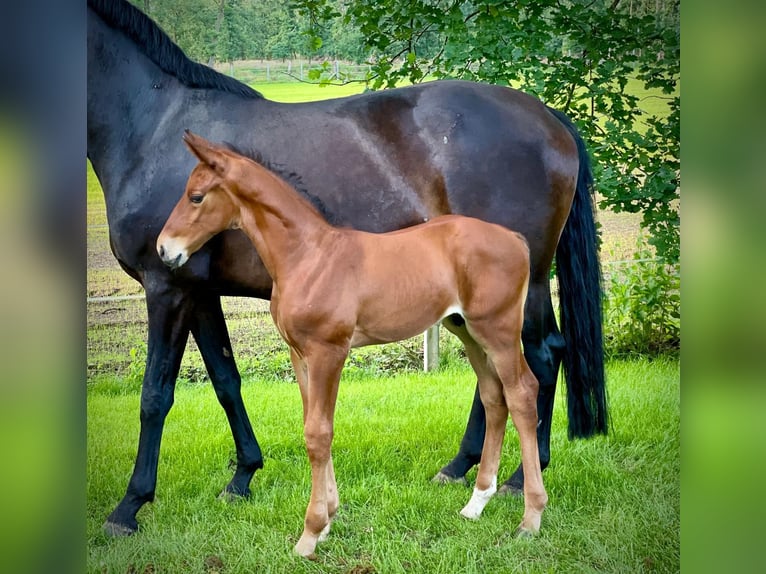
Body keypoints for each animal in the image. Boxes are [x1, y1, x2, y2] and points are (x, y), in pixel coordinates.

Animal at [159, 132, 548, 560]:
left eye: (196, 196)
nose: (163, 249)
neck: (308, 256)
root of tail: (514, 239)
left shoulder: (329, 351)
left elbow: (318, 433)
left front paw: (310, 534)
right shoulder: (300, 356)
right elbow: (313, 426)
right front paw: (328, 520)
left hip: (498, 331)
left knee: (522, 394)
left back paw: (530, 518)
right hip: (467, 331)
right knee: (495, 397)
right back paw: (476, 504)